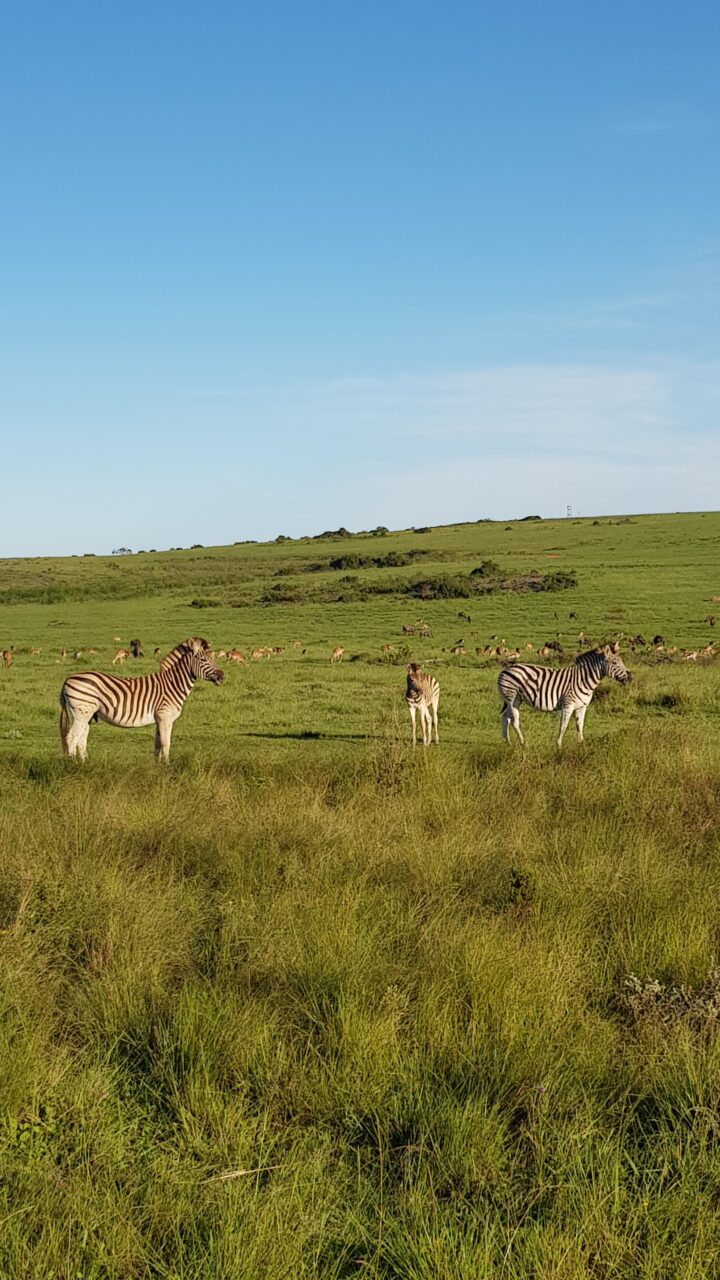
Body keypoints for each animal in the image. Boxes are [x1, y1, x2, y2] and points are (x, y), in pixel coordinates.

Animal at [58, 632, 221, 757]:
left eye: (214, 658)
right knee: (72, 738)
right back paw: (73, 768)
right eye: (204, 659)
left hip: (87, 714)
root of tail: (68, 678)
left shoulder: (159, 718)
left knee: (80, 740)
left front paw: (158, 769)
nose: (222, 676)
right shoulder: (165, 716)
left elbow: (157, 745)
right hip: (81, 712)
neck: (172, 685)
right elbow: (166, 744)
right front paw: (167, 770)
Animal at [497, 640, 630, 747]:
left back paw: (507, 743)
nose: (631, 677)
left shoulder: (582, 706)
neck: (583, 679)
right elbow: (563, 726)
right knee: (514, 721)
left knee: (505, 717)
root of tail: (505, 669)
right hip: (512, 698)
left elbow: (580, 725)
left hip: (516, 700)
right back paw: (523, 743)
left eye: (621, 661)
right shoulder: (568, 705)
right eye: (614, 663)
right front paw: (559, 745)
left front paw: (581, 744)